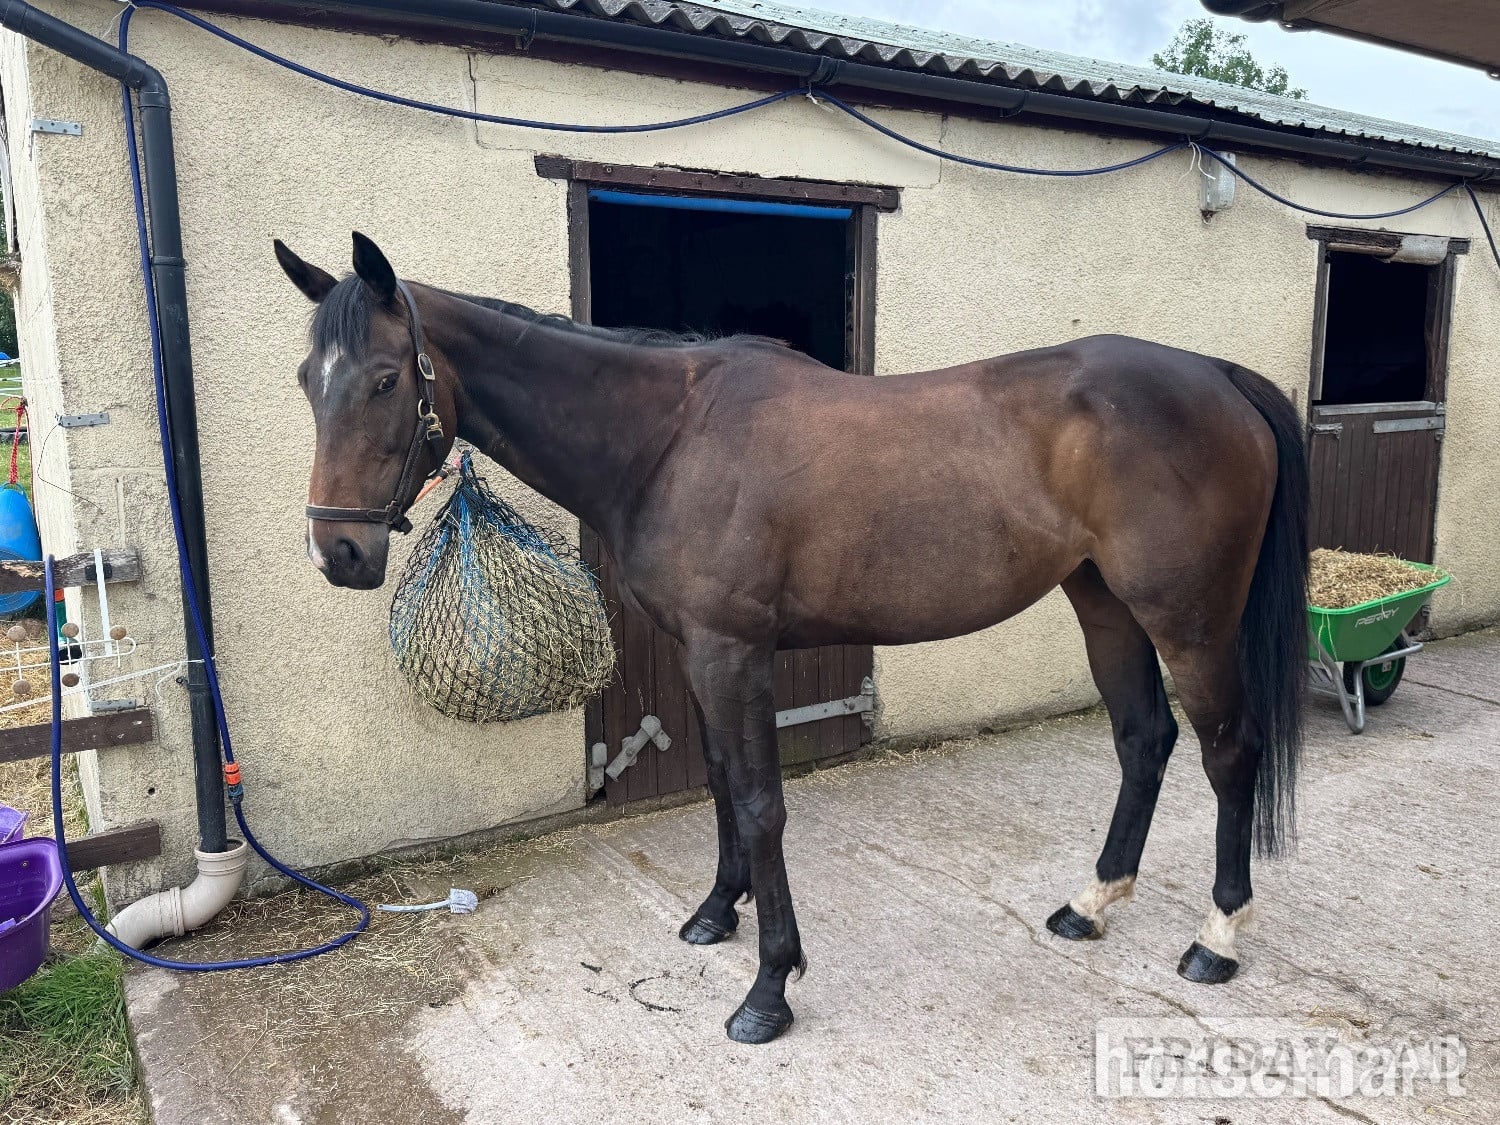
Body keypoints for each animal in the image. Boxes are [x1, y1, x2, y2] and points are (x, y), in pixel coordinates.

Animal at [276, 231, 1308, 1045]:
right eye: (305, 383)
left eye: (383, 380)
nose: (337, 552)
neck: (668, 436)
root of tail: (1217, 375)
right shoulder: (697, 650)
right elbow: (721, 784)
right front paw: (711, 914)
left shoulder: (734, 653)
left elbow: (763, 803)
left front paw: (768, 988)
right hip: (1105, 605)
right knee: (1144, 738)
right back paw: (1090, 905)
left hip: (1189, 619)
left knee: (1227, 749)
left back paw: (1216, 939)